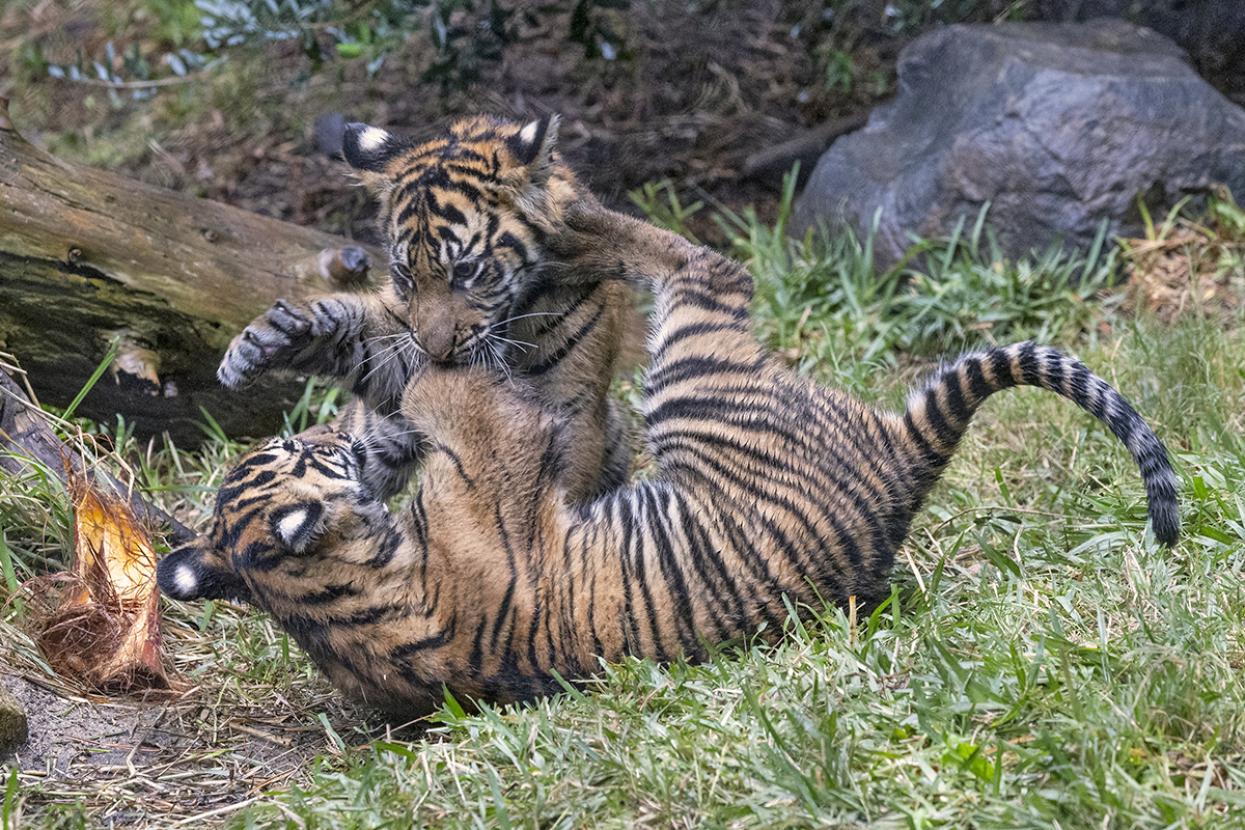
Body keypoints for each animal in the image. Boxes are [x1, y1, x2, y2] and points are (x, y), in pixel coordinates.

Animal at [215, 115, 637, 503]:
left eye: (465, 270)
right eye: (405, 273)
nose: (438, 353)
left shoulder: (573, 409)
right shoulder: (402, 362)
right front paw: (270, 340)